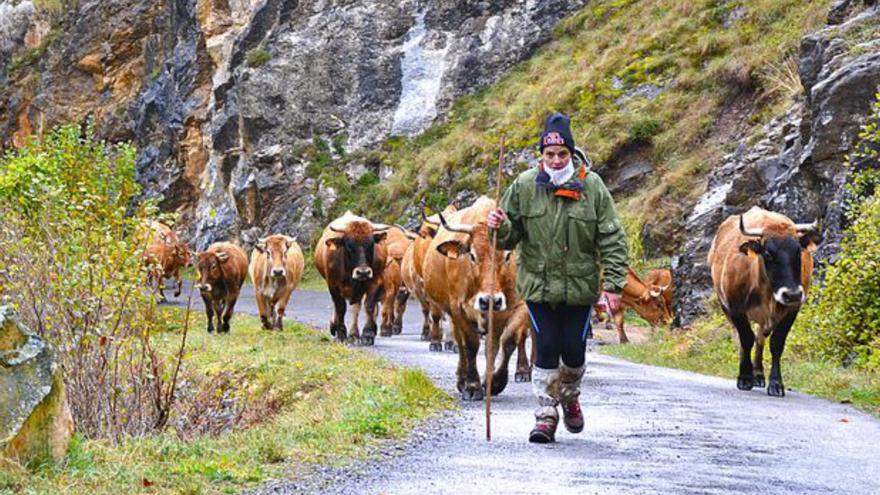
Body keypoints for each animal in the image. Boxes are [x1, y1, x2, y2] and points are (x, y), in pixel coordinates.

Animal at [312, 212, 388, 344]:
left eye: (371, 245)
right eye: (348, 246)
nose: (363, 272)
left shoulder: (375, 282)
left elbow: (369, 306)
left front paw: (367, 334)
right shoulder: (333, 284)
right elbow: (340, 307)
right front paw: (341, 332)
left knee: (356, 307)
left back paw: (354, 334)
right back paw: (335, 326)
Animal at [422, 196, 524, 402]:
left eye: (508, 255)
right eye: (472, 255)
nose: (490, 300)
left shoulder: (519, 306)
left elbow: (508, 341)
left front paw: (496, 382)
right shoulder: (458, 308)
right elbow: (470, 345)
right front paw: (472, 386)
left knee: (492, 345)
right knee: (460, 344)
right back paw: (462, 380)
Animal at [704, 207, 820, 398]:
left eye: (798, 251)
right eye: (767, 253)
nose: (792, 294)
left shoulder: (792, 309)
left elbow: (776, 343)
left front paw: (776, 383)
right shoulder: (735, 308)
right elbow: (745, 339)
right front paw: (745, 377)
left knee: (760, 338)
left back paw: (758, 374)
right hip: (725, 306)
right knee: (744, 338)